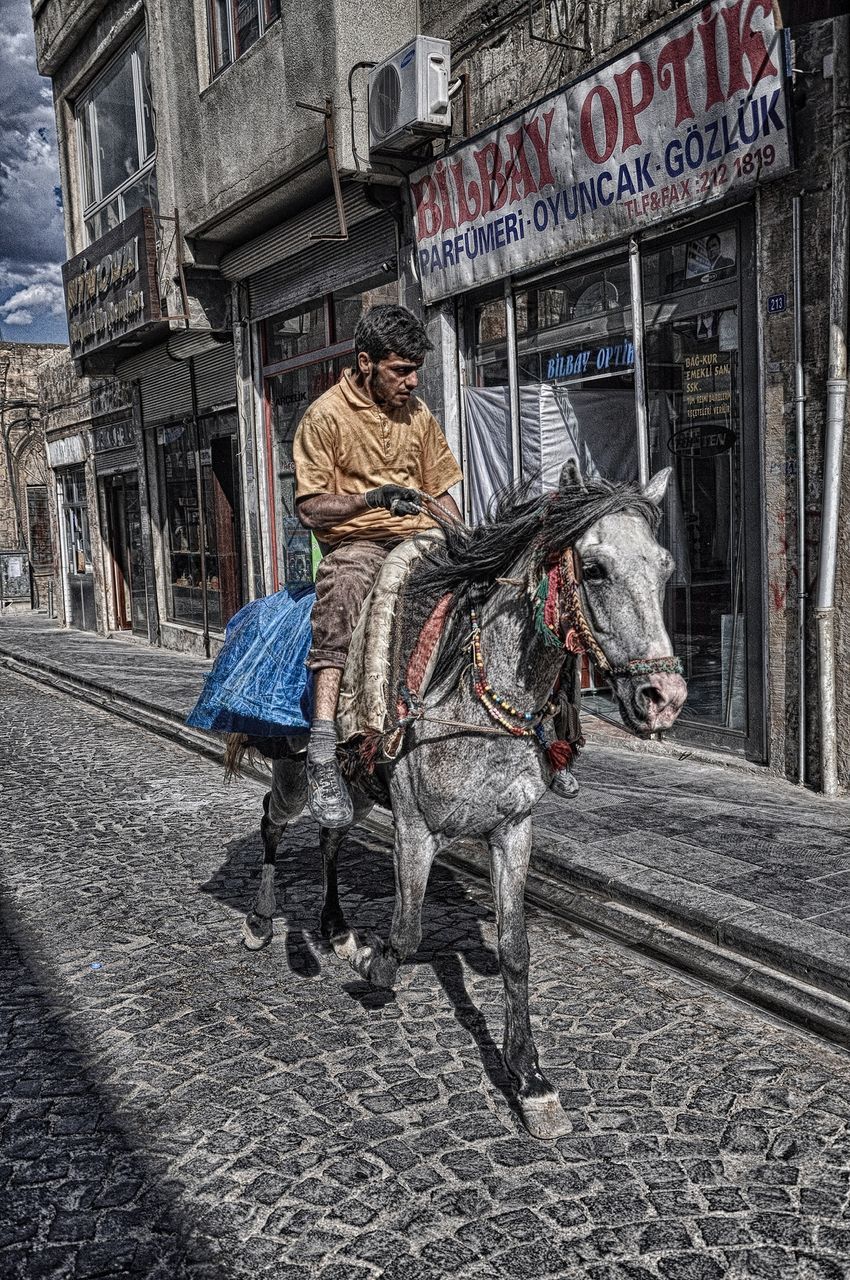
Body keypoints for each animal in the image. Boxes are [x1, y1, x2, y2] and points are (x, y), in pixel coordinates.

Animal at [236, 471, 686, 1141]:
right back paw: (264, 922)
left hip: (358, 794)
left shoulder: (513, 829)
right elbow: (406, 929)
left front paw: (531, 1080)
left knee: (330, 833)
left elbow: (515, 949)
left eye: (664, 566)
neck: (477, 692)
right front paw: (372, 965)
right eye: (595, 569)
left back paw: (336, 928)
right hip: (295, 774)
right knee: (272, 818)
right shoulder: (415, 827)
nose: (664, 698)